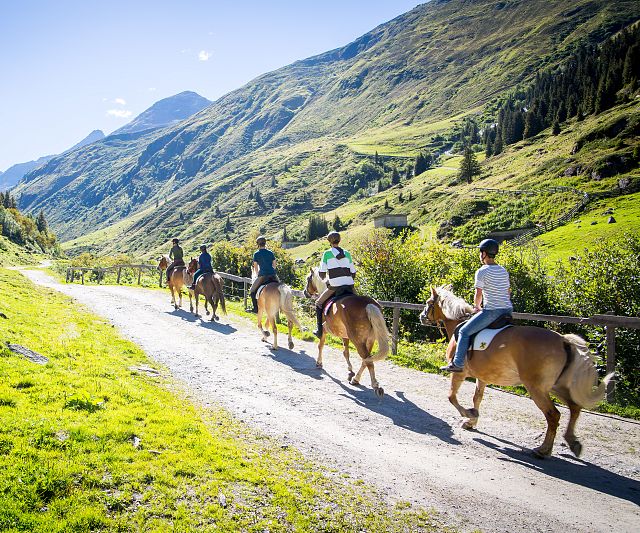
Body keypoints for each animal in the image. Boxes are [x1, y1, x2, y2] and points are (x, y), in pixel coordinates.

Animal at [304, 266, 390, 394]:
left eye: (308, 279)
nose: (305, 292)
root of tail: (368, 305)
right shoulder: (344, 335)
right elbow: (346, 352)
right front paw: (350, 371)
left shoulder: (324, 330)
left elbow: (321, 345)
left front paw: (319, 363)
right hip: (369, 340)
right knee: (366, 359)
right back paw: (356, 379)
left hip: (358, 341)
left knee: (367, 361)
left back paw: (374, 385)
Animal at [418, 284, 612, 456]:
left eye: (428, 302)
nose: (421, 317)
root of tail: (563, 340)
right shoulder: (483, 376)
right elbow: (477, 398)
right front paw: (471, 422)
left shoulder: (459, 372)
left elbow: (451, 396)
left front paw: (469, 414)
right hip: (557, 386)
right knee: (574, 407)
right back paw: (572, 442)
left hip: (536, 388)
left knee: (553, 415)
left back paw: (543, 450)